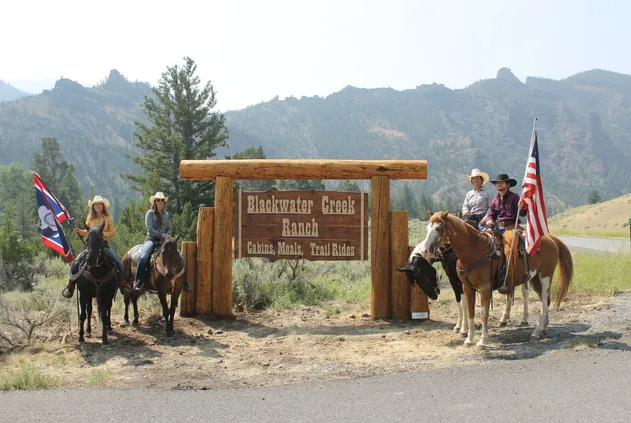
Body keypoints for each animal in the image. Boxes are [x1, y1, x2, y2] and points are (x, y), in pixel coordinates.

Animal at [420, 210, 572, 350]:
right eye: (427, 228)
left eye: (438, 228)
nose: (426, 250)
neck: (474, 251)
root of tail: (549, 238)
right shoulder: (466, 287)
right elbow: (470, 310)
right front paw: (469, 339)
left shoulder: (484, 288)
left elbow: (483, 313)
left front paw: (482, 341)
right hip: (535, 278)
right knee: (544, 300)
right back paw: (543, 328)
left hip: (545, 276)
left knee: (544, 302)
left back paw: (536, 331)